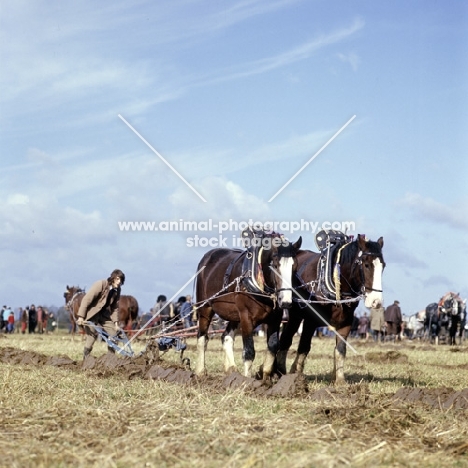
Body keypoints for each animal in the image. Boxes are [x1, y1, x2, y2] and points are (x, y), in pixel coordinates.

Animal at [195, 232, 302, 378]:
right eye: (274, 265)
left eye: (294, 267)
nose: (285, 301)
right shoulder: (246, 317)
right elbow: (249, 351)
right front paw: (247, 379)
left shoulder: (275, 319)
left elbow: (273, 346)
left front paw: (266, 376)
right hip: (205, 307)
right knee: (202, 337)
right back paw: (200, 371)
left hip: (234, 315)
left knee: (226, 337)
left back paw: (231, 369)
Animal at [274, 234, 384, 384]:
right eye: (366, 265)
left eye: (383, 266)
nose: (376, 301)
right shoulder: (310, 321)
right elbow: (304, 347)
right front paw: (297, 377)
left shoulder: (346, 322)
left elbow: (340, 350)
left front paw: (340, 381)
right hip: (293, 317)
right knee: (286, 340)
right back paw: (281, 372)